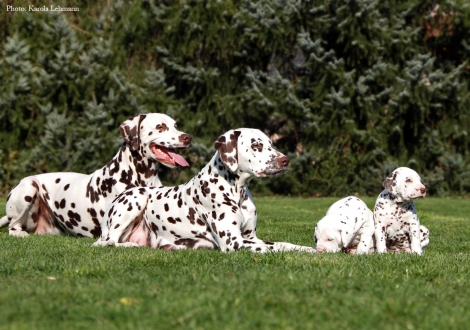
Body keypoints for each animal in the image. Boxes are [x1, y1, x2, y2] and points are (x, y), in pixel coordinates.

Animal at [93, 129, 316, 253]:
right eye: (256, 145)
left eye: (271, 143)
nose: (286, 160)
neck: (236, 191)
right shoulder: (234, 242)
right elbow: (272, 247)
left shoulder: (251, 237)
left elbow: (284, 244)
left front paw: (309, 249)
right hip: (136, 197)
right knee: (106, 242)